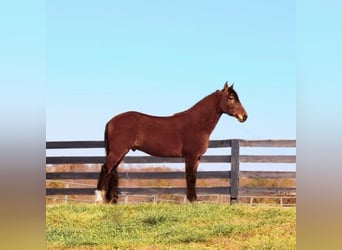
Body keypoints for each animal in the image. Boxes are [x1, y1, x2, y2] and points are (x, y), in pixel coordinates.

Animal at [95, 82, 247, 203]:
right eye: (231, 98)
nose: (244, 116)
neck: (198, 123)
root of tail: (111, 121)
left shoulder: (197, 158)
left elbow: (193, 177)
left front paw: (194, 199)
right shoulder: (191, 156)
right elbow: (190, 177)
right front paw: (192, 201)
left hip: (120, 153)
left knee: (112, 171)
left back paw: (111, 200)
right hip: (118, 151)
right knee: (105, 168)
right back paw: (98, 198)